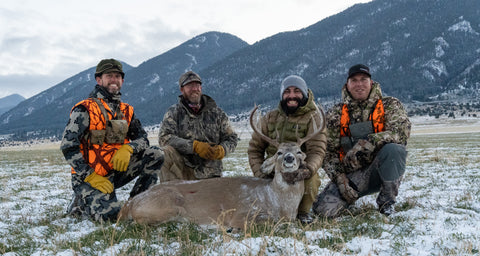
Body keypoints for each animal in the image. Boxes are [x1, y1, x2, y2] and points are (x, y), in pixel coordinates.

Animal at [117, 105, 326, 229]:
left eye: (299, 152)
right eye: (279, 153)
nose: (289, 158)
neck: (281, 204)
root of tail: (129, 205)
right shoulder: (243, 214)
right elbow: (269, 222)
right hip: (167, 205)